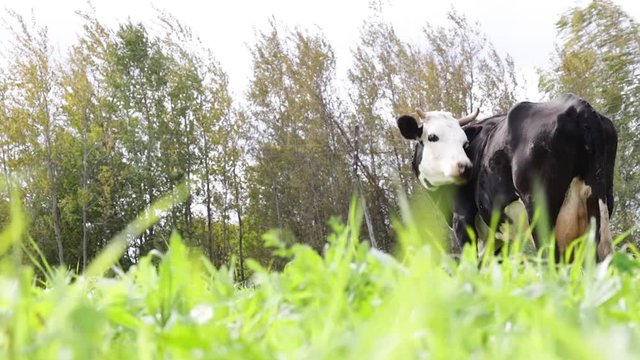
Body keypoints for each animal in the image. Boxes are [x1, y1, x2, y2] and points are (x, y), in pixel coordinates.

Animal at [398, 94, 616, 260]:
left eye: (464, 142)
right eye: (433, 137)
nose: (466, 167)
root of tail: (579, 106)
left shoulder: (462, 219)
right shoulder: (497, 239)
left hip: (540, 209)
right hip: (599, 202)